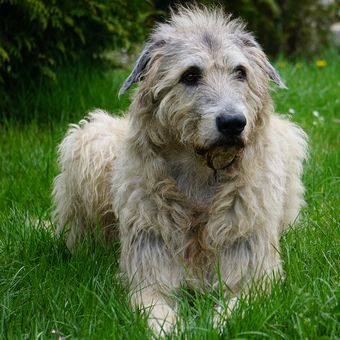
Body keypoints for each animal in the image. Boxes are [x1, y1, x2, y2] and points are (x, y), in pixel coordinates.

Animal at [52, 5, 308, 334]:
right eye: (190, 75)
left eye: (240, 72)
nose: (233, 123)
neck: (201, 175)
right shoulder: (148, 274)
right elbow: (155, 310)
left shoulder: (256, 277)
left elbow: (234, 311)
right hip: (90, 143)